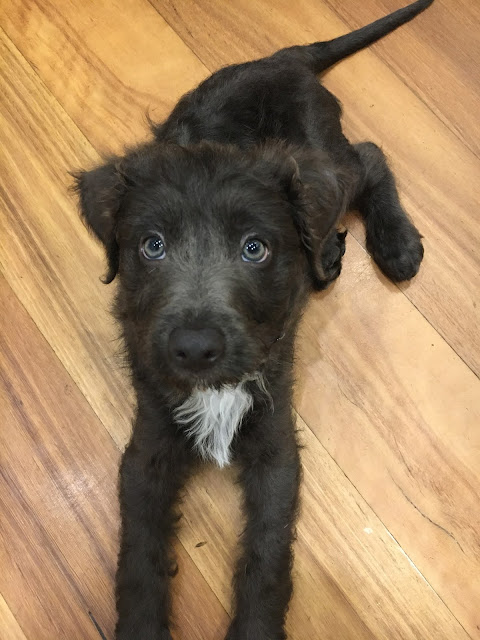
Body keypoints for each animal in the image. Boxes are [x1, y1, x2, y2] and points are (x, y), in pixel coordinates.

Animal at [73, 2, 434, 636]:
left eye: (255, 249)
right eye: (151, 246)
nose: (195, 348)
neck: (215, 387)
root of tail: (283, 58)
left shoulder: (276, 447)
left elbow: (266, 556)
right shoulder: (147, 447)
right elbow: (138, 555)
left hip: (320, 155)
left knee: (367, 158)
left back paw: (392, 242)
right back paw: (328, 253)